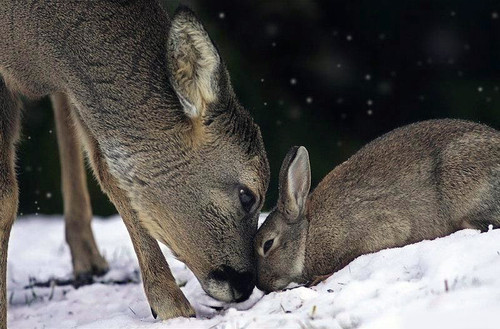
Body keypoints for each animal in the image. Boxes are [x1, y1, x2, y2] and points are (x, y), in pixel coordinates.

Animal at [0, 1, 270, 326]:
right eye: (247, 195)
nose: (245, 284)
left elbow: (112, 174)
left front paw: (170, 305)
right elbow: (6, 197)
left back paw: (88, 259)